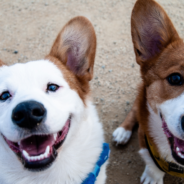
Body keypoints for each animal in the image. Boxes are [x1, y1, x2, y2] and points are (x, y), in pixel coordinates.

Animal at [112, 0, 184, 183]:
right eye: (175, 78)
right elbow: (153, 163)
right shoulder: (145, 139)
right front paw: (153, 177)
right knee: (134, 110)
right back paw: (123, 132)